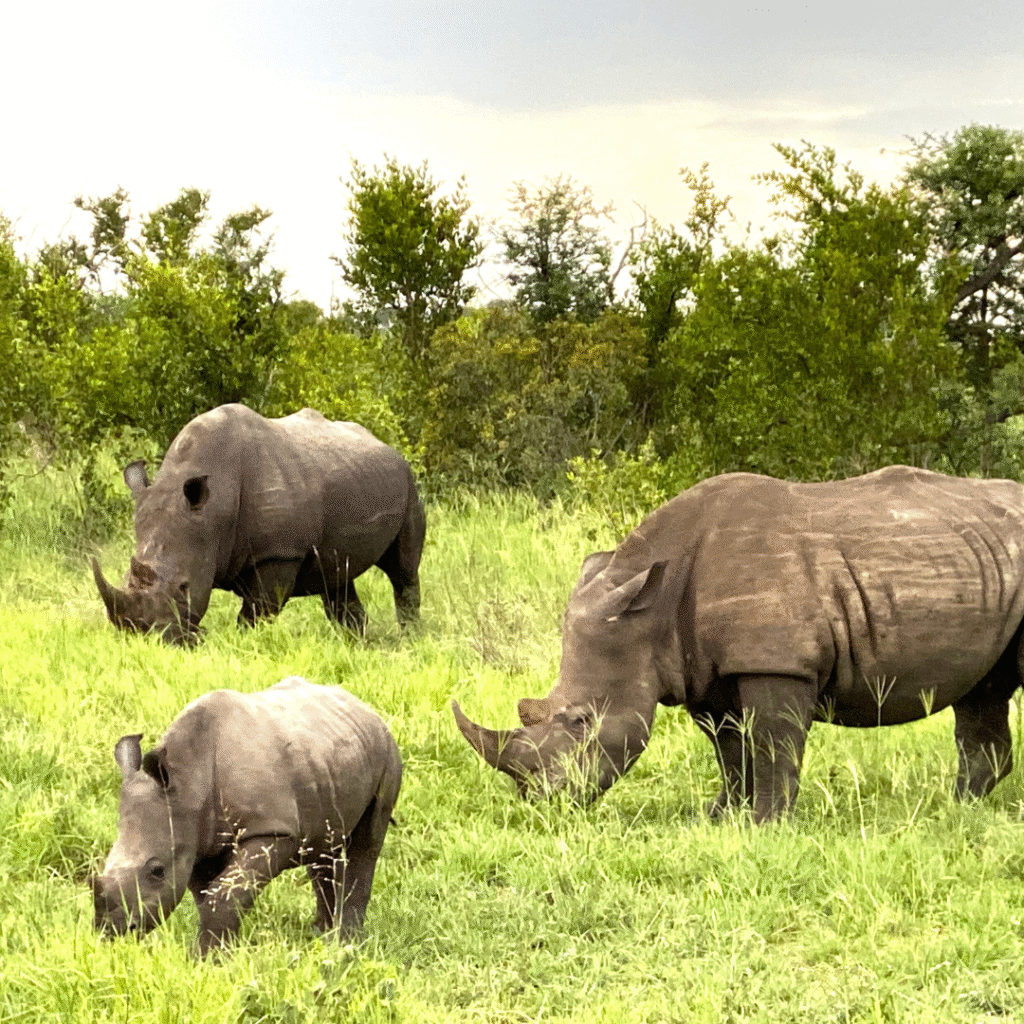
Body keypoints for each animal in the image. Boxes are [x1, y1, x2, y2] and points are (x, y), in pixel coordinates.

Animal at [91, 677, 402, 954]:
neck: (189, 783)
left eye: (157, 870)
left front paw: (206, 960)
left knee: (366, 844)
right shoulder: (196, 840)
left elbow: (223, 895)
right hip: (327, 755)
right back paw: (321, 934)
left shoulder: (271, 831)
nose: (114, 931)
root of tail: (364, 707)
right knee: (323, 846)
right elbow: (212, 898)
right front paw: (221, 953)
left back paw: (345, 942)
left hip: (388, 751)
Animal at [92, 404, 425, 643]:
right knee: (337, 578)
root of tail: (386, 445)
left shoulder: (279, 554)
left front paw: (243, 646)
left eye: (183, 587)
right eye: (125, 577)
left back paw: (409, 638)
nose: (145, 637)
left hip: (409, 484)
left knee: (402, 571)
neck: (214, 512)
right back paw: (356, 642)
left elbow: (254, 614)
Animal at [454, 466, 1024, 822]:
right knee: (983, 692)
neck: (651, 608)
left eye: (580, 721)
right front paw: (718, 817)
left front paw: (766, 824)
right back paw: (955, 809)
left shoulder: (776, 662)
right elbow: (729, 748)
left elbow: (772, 742)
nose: (542, 802)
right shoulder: (702, 669)